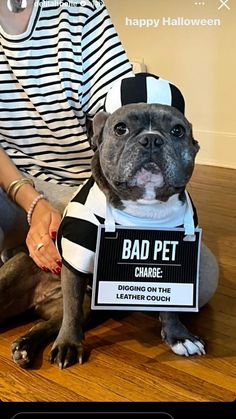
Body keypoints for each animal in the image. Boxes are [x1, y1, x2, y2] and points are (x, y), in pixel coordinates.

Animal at [48, 103, 219, 370]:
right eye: (121, 129)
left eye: (178, 131)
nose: (151, 139)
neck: (145, 208)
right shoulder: (75, 261)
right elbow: (72, 308)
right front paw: (68, 343)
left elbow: (170, 304)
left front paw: (179, 336)